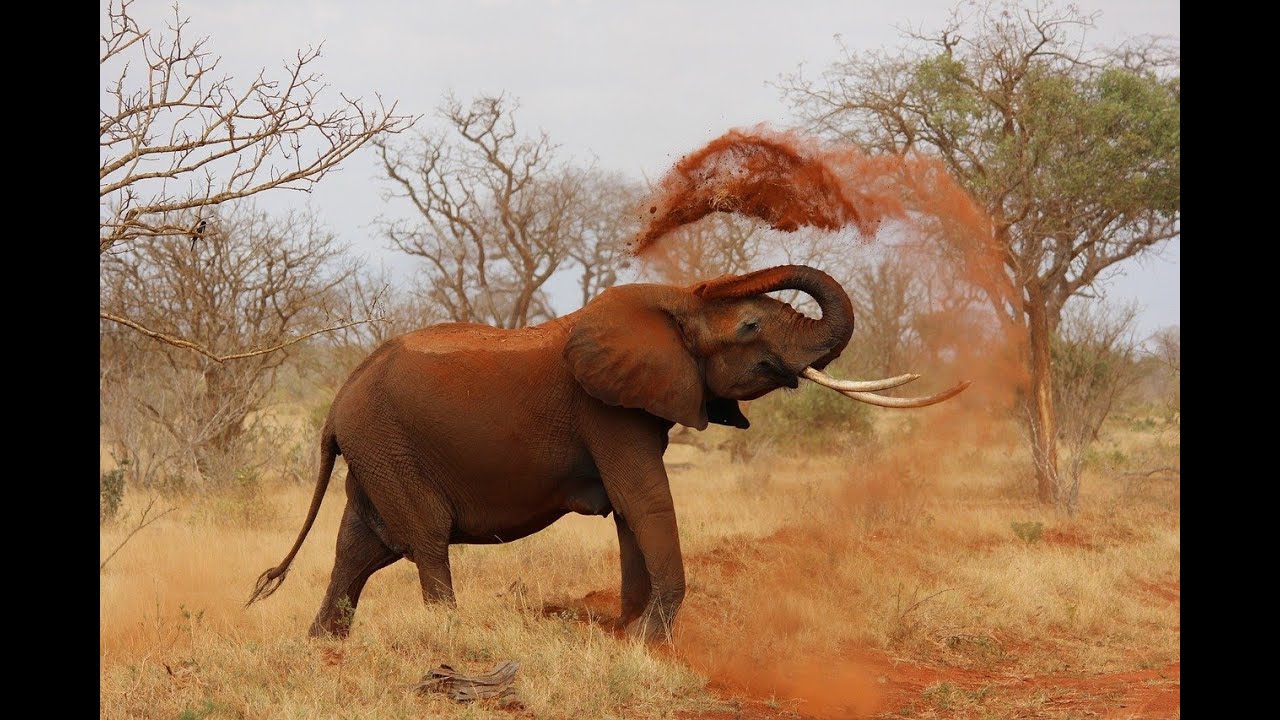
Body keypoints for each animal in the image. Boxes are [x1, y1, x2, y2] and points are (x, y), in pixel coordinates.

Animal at [246, 264, 966, 640]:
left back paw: (324, 647)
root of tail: (338, 400)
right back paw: (448, 636)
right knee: (421, 538)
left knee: (360, 545)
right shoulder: (606, 410)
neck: (670, 304)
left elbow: (630, 511)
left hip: (375, 449)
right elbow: (644, 499)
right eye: (751, 325)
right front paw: (651, 640)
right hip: (388, 444)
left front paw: (627, 633)